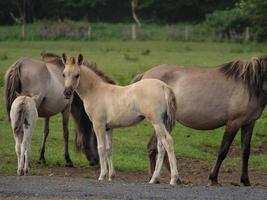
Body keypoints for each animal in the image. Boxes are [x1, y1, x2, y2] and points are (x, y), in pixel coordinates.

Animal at [62, 53, 180, 184]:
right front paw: (111, 176)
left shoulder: (98, 125)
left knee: (167, 141)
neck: (95, 91)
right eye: (63, 74)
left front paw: (102, 175)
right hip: (161, 122)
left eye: (77, 75)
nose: (67, 93)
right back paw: (154, 179)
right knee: (161, 146)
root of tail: (164, 86)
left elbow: (101, 148)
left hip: (156, 121)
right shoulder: (108, 128)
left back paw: (173, 179)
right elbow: (109, 149)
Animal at [133, 56, 267, 186]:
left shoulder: (249, 123)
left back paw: (170, 179)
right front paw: (213, 179)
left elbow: (245, 152)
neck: (250, 85)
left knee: (158, 146)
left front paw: (245, 180)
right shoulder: (233, 123)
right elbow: (223, 151)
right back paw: (155, 178)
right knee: (155, 146)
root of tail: (144, 75)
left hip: (166, 122)